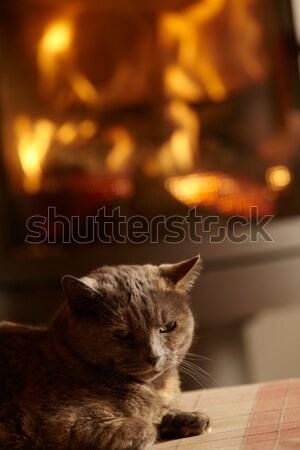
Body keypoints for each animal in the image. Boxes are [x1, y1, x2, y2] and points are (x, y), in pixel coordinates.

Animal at [0, 255, 211, 448]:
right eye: (122, 333)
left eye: (168, 326)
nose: (154, 356)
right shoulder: (55, 422)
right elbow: (145, 428)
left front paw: (188, 417)